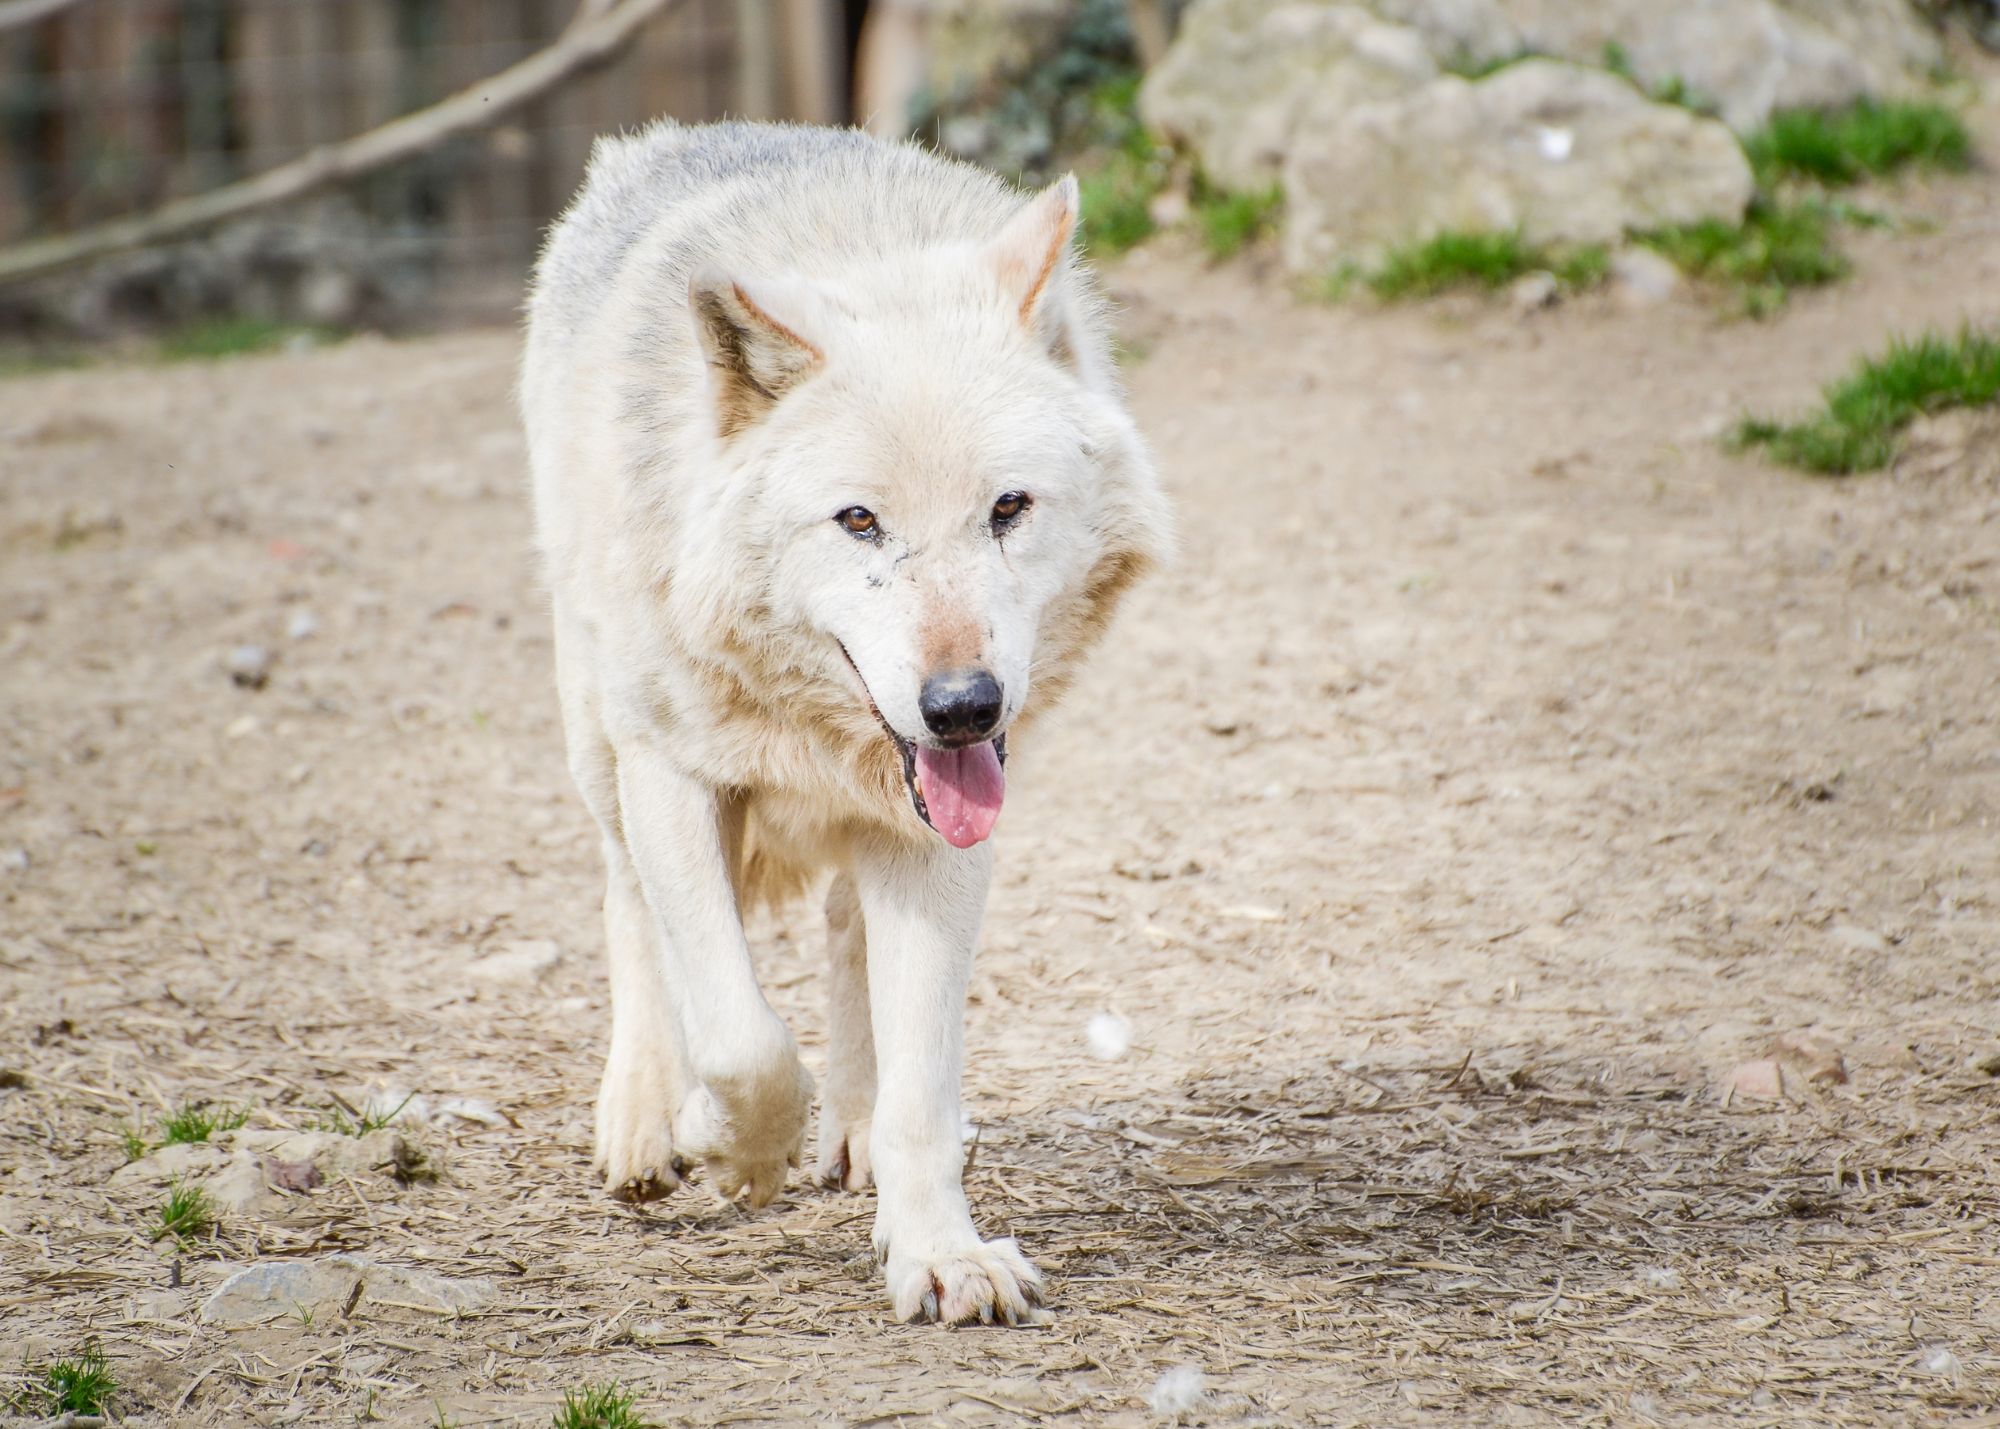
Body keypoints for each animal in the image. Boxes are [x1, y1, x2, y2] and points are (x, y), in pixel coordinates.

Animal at [519, 121, 1169, 1324]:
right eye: (858, 521)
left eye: (1008, 508)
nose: (962, 706)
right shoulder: (674, 778)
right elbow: (741, 1036)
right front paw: (730, 1146)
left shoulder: (947, 827)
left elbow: (921, 1087)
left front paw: (941, 1253)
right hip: (599, 733)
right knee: (632, 906)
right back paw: (644, 1122)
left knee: (842, 933)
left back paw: (851, 1131)